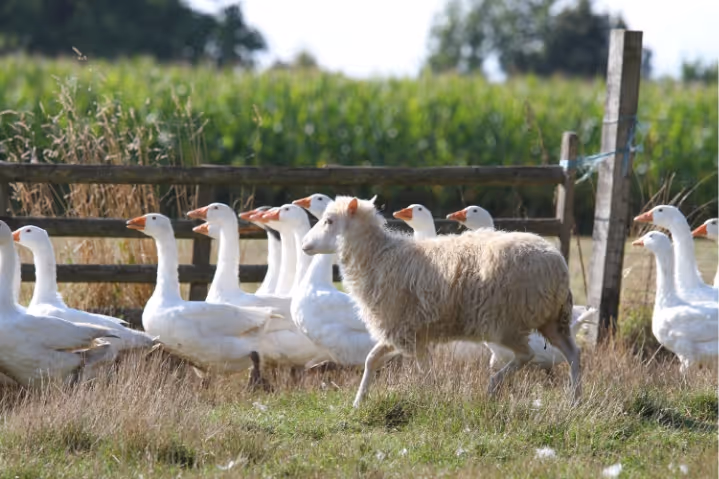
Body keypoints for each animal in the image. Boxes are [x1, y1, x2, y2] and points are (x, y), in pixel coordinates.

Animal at [302, 196, 581, 407]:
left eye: (329, 221)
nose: (305, 244)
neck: (378, 256)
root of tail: (558, 263)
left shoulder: (405, 329)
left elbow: (422, 371)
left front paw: (430, 398)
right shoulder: (406, 330)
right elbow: (372, 359)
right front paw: (359, 401)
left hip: (507, 322)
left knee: (527, 354)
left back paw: (493, 387)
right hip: (551, 320)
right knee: (572, 354)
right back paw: (574, 401)